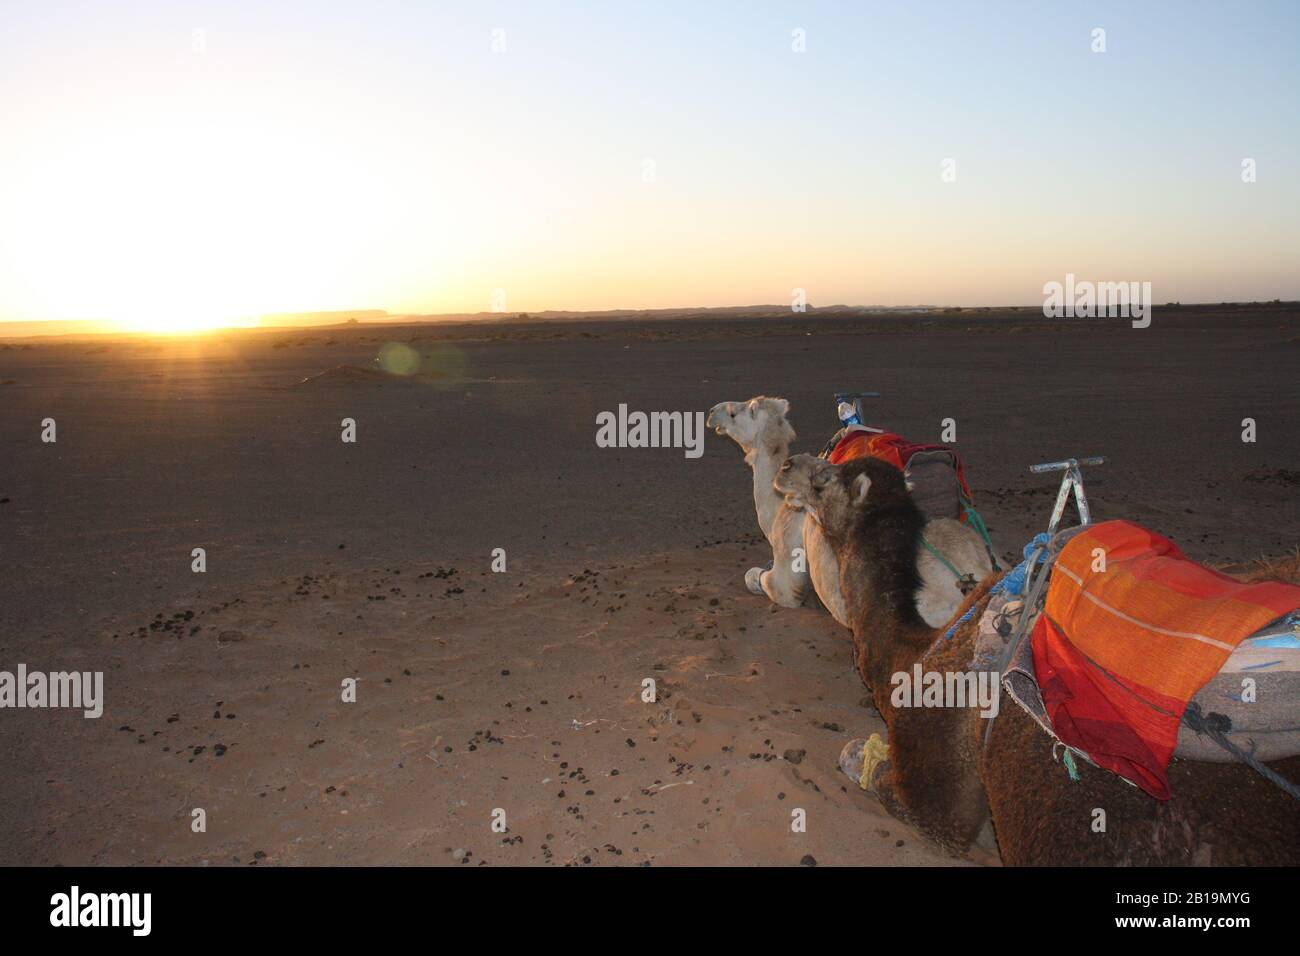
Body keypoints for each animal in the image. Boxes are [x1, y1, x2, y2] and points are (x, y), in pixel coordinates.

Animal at [712, 395, 993, 629]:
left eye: (734, 412)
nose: (712, 413)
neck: (778, 507)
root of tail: (971, 581)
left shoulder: (787, 553)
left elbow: (763, 580)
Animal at [774, 455, 1294, 868]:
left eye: (826, 478)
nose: (785, 466)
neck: (915, 650)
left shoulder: (938, 757)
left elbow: (883, 779)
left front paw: (860, 753)